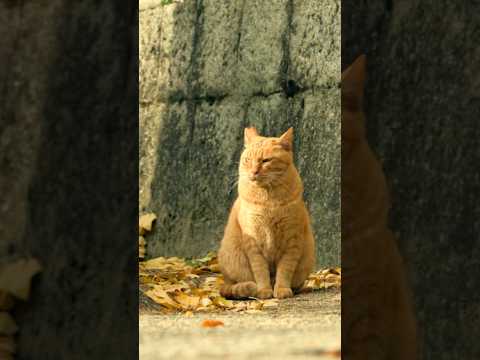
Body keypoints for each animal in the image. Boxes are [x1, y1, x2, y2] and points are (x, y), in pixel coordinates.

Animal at [218, 128, 316, 300]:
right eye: (247, 160)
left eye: (265, 161)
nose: (253, 172)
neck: (269, 200)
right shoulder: (253, 242)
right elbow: (260, 270)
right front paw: (264, 290)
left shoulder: (292, 241)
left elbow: (285, 270)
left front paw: (282, 289)